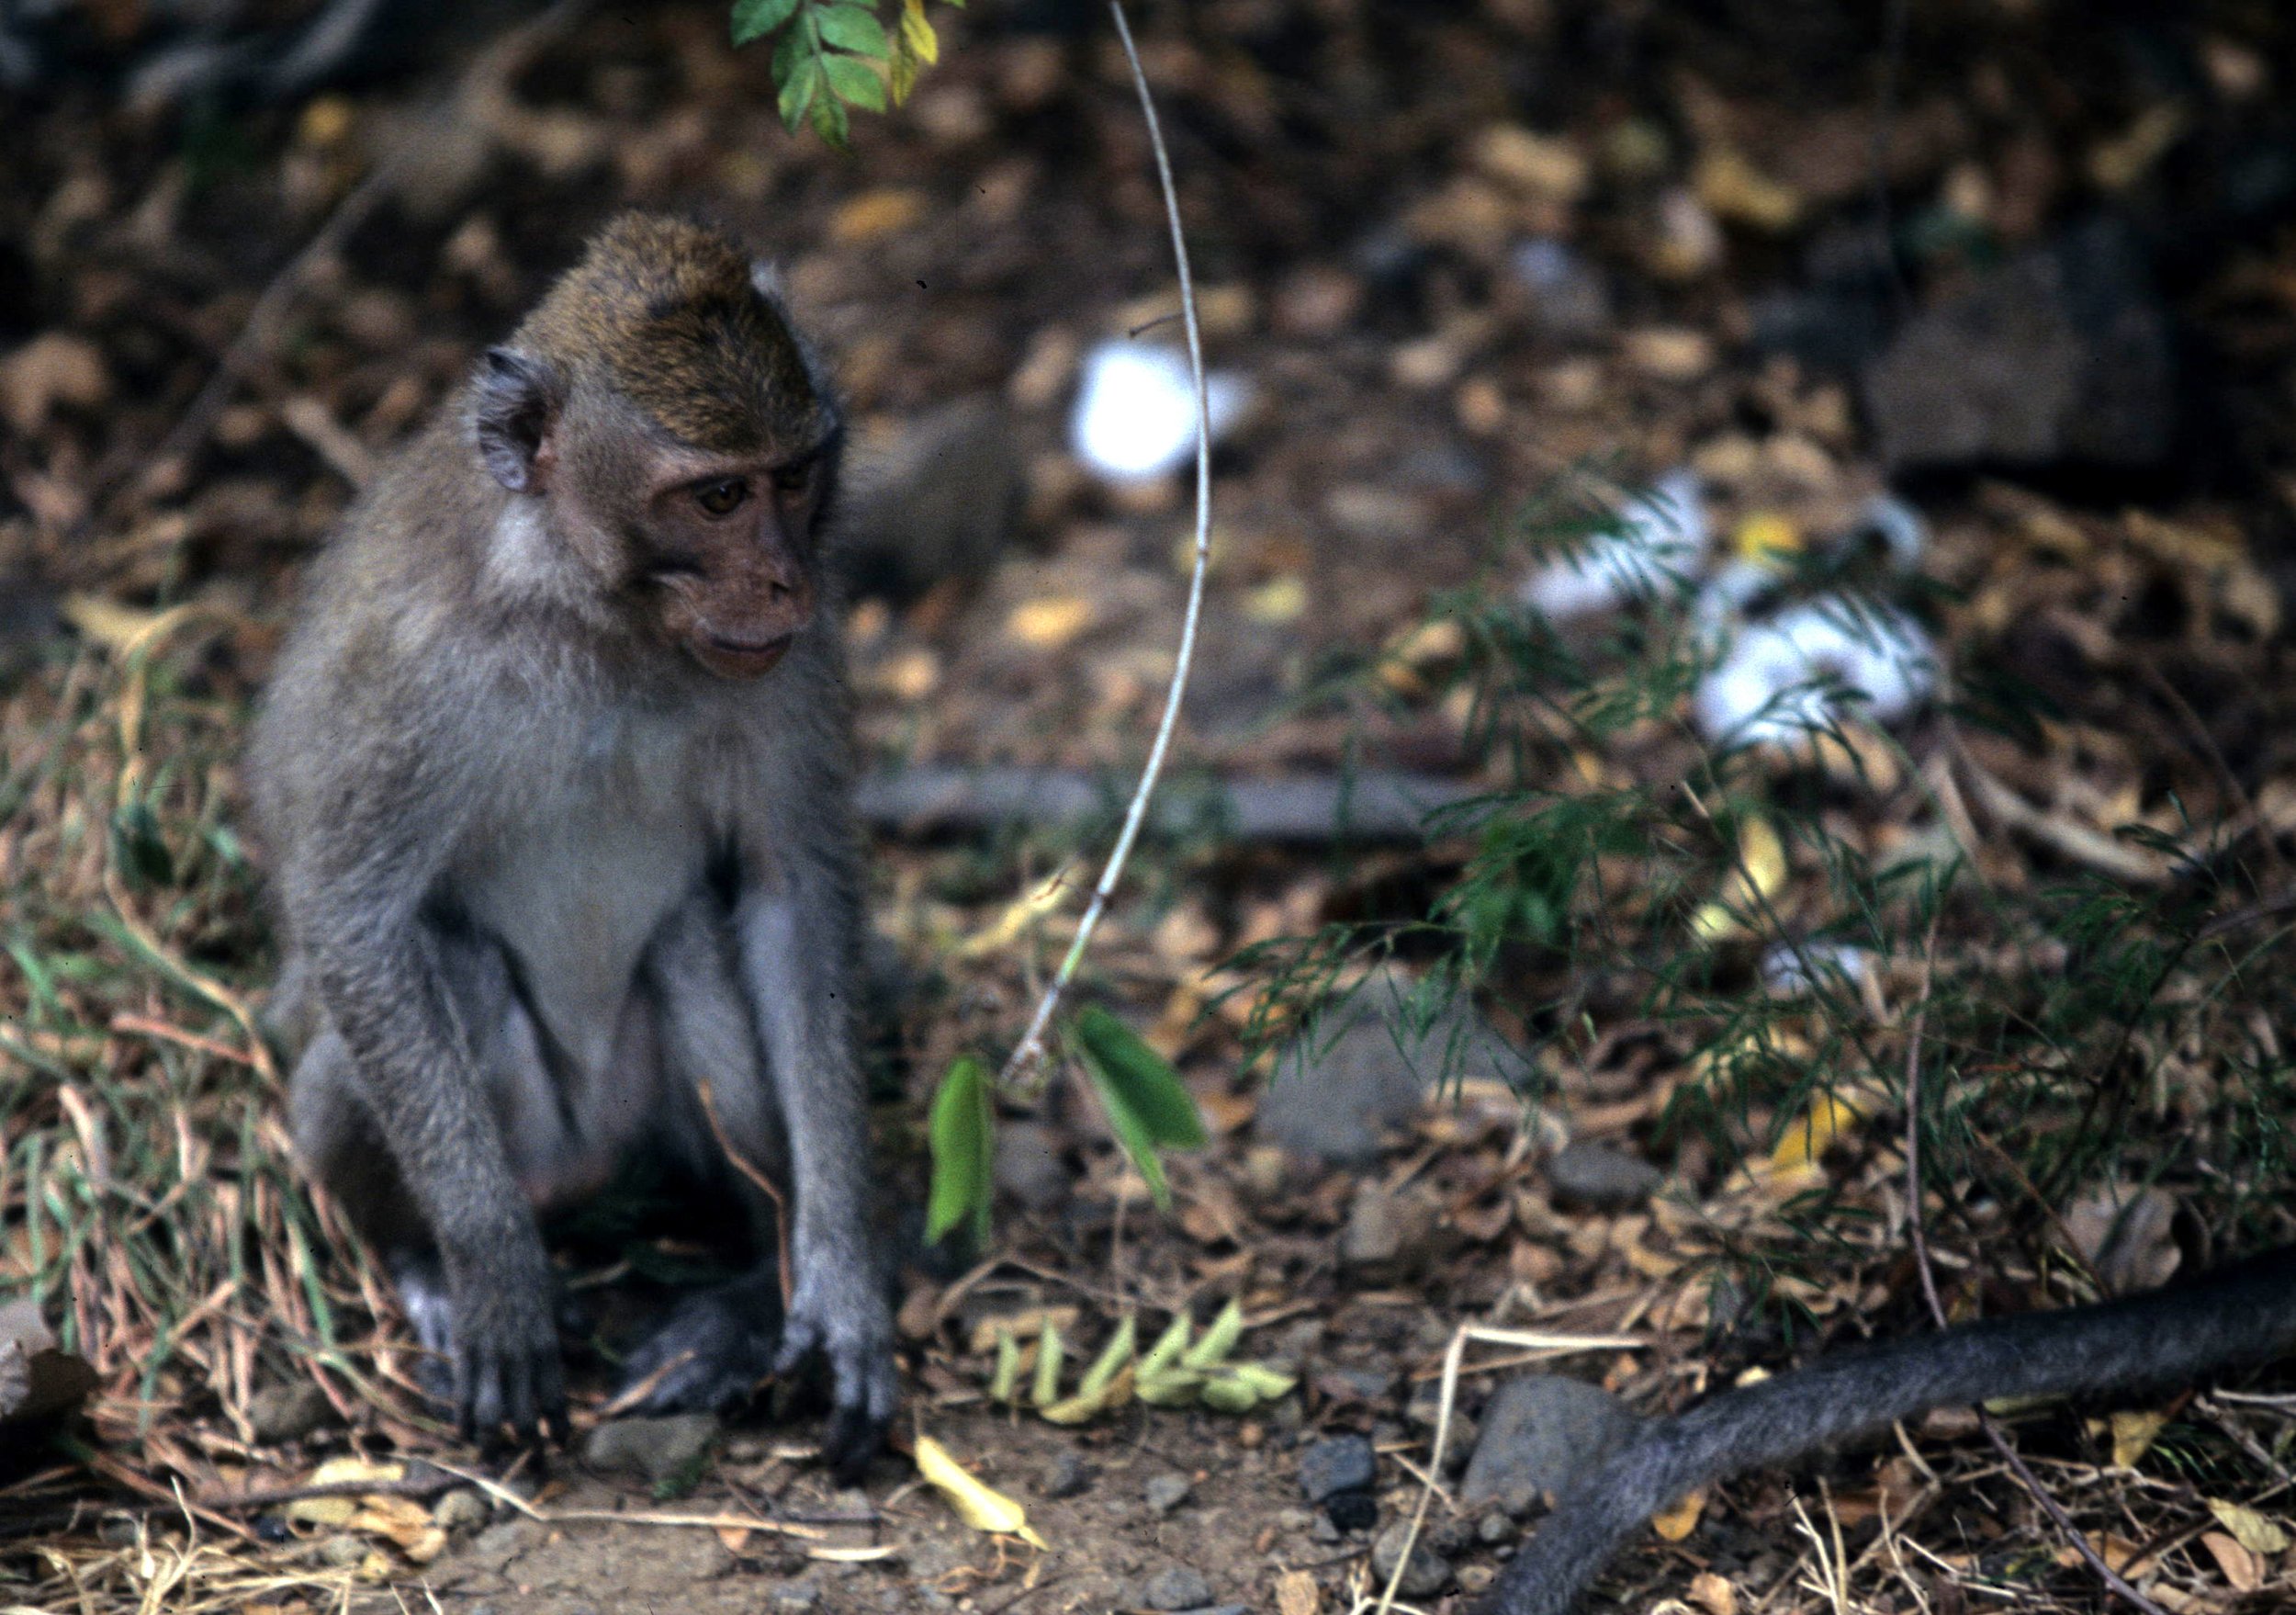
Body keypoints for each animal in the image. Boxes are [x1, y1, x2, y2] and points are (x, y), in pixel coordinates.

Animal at [246, 212, 896, 1477]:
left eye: (793, 480)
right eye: (716, 497)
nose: (784, 577)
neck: (599, 615)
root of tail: (588, 1162)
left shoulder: (793, 664)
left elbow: (794, 894)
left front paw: (841, 1271)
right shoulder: (410, 670)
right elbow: (356, 919)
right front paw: (495, 1276)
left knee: (695, 950)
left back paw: (744, 1296)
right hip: (519, 1135)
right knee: (435, 972)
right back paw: (430, 1266)